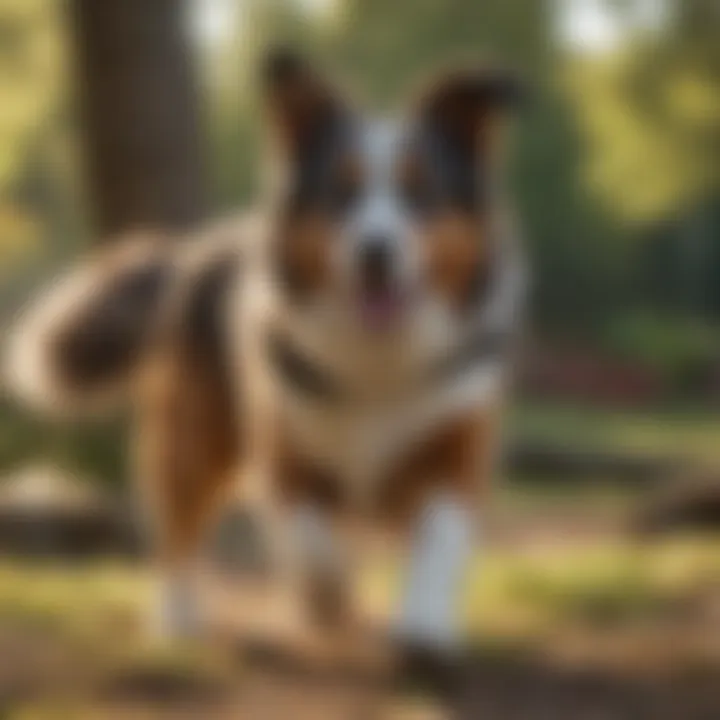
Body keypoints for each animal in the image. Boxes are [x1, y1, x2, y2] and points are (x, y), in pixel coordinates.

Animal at [2, 50, 524, 680]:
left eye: (420, 193)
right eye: (340, 193)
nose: (375, 252)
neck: (377, 359)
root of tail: (196, 247)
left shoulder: (456, 448)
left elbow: (439, 538)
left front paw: (424, 629)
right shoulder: (283, 454)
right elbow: (312, 544)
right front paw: (327, 603)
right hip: (193, 442)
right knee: (179, 532)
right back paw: (177, 622)